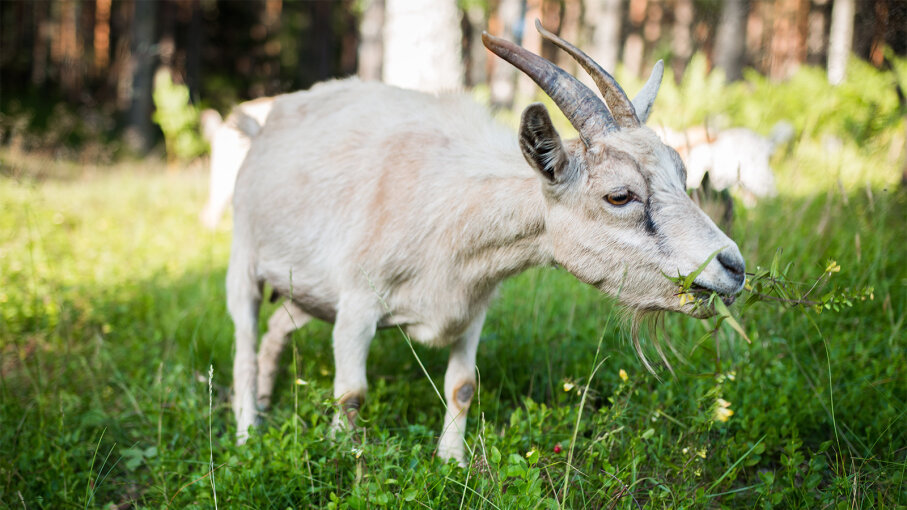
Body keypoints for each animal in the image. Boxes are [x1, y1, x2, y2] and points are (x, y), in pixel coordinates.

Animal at [225, 24, 744, 470]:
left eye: (682, 174)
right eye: (619, 195)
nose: (733, 267)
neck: (451, 208)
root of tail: (264, 126)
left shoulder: (472, 307)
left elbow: (462, 386)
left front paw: (451, 463)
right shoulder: (357, 305)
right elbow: (352, 393)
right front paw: (343, 460)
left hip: (306, 290)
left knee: (276, 330)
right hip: (244, 258)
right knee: (245, 346)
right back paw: (248, 433)